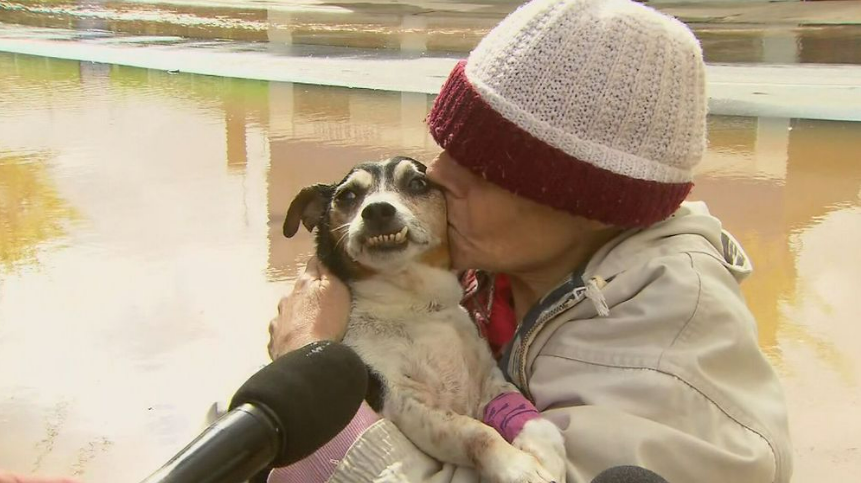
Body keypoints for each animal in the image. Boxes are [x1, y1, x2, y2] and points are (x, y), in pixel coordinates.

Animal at [282, 157, 564, 482]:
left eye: (417, 183)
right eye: (348, 196)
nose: (377, 210)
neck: (415, 305)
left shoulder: (489, 378)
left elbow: (518, 405)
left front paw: (544, 443)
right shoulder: (405, 403)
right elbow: (476, 432)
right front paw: (515, 466)